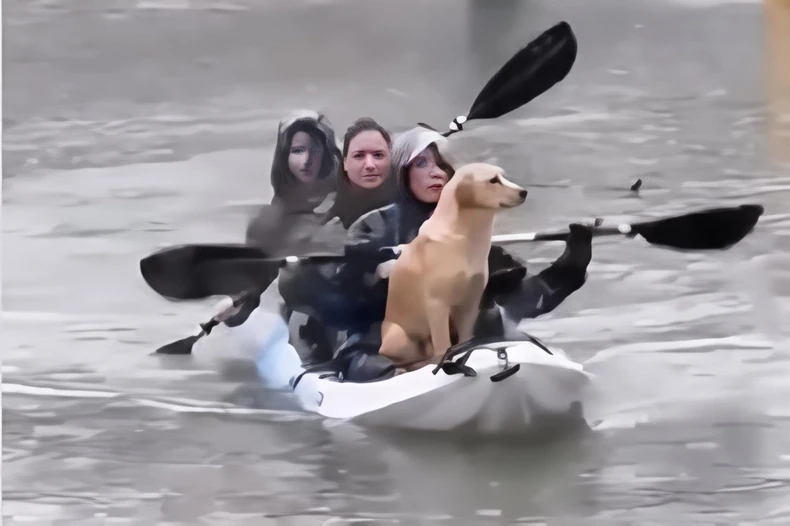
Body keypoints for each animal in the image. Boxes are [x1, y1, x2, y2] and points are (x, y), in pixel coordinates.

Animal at [378, 162, 528, 371]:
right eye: (493, 180)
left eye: (503, 176)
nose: (524, 192)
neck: (464, 236)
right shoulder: (437, 304)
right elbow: (443, 347)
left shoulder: (471, 302)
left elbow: (465, 340)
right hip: (400, 337)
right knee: (410, 359)